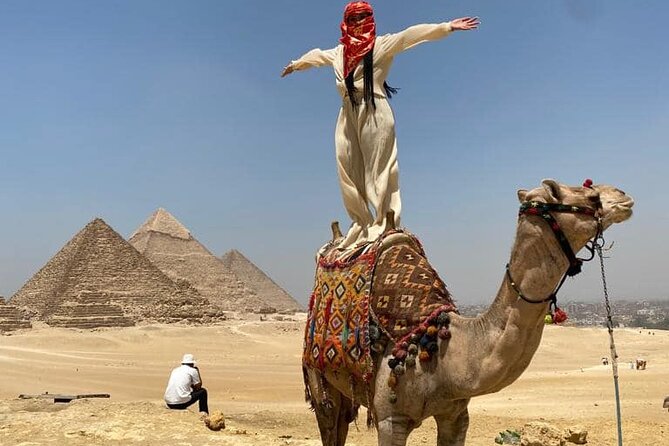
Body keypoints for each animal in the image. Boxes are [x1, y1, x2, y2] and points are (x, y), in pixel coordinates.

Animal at [304, 179, 634, 446]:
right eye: (589, 195)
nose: (623, 195)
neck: (442, 348)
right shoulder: (389, 419)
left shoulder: (456, 414)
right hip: (318, 379)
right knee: (330, 423)